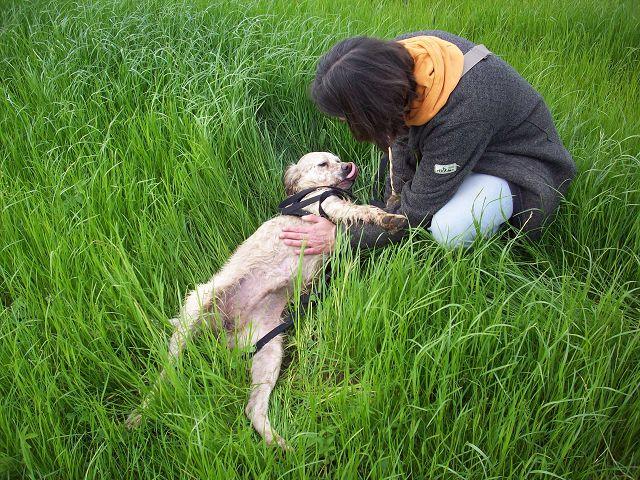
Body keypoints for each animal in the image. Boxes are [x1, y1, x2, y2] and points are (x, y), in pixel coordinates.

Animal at [125, 152, 404, 448]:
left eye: (338, 160)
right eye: (323, 163)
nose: (348, 167)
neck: (309, 192)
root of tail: (224, 326)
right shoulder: (329, 205)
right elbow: (363, 210)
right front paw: (390, 218)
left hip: (269, 350)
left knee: (253, 409)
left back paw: (280, 444)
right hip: (199, 304)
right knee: (165, 375)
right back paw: (140, 413)